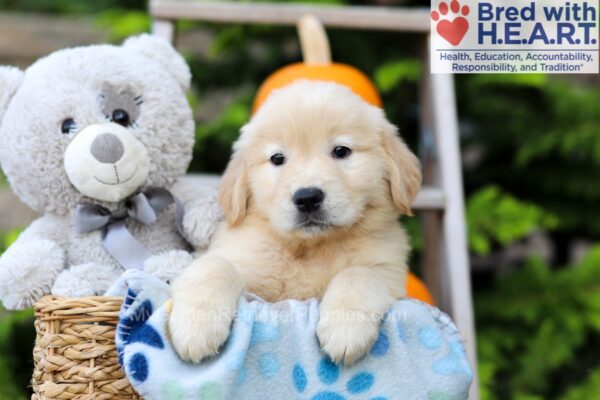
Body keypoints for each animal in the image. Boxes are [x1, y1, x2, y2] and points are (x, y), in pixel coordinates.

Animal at [169, 80, 422, 366]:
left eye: (341, 151)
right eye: (277, 158)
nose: (308, 198)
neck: (309, 248)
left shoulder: (388, 269)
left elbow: (359, 274)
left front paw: (345, 330)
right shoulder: (246, 263)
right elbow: (215, 266)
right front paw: (195, 328)